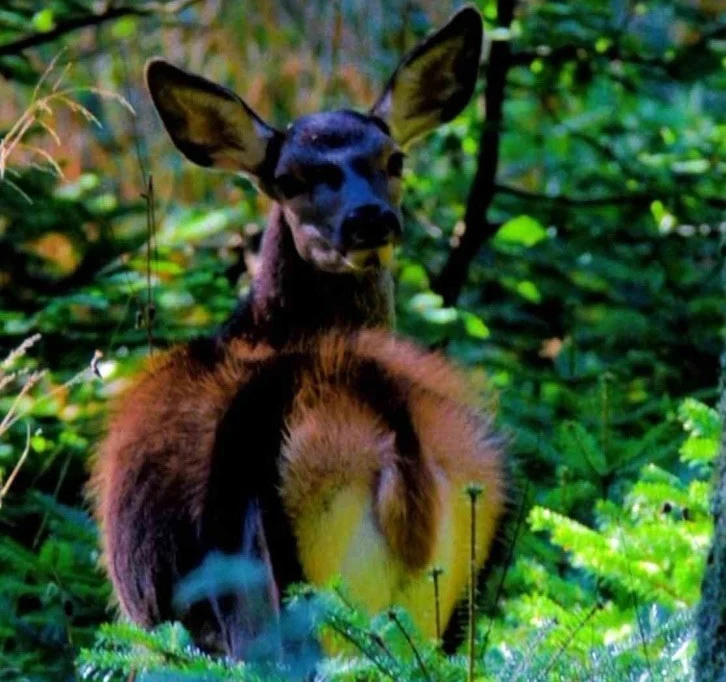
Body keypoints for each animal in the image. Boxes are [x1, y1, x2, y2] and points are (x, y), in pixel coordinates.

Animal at [91, 5, 510, 672]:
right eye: (287, 179)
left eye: (394, 160)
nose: (369, 218)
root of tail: (397, 439)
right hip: (455, 601)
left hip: (260, 600)